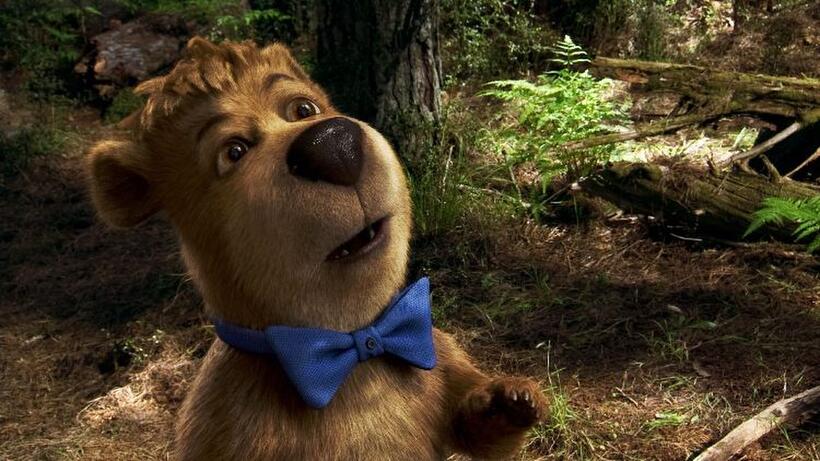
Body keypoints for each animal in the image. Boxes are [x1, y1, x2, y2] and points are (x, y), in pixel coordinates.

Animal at [85, 37, 549, 460]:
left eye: (303, 109)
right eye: (234, 151)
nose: (331, 145)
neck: (354, 349)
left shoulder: (442, 354)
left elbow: (481, 436)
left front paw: (511, 399)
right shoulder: (220, 418)